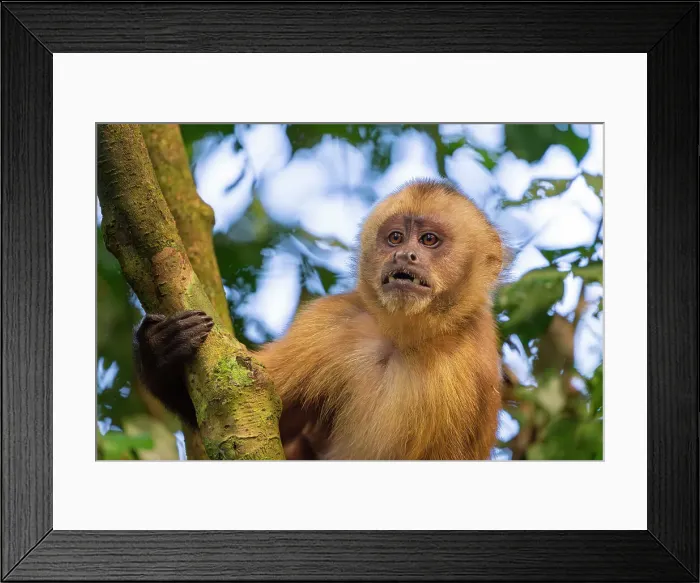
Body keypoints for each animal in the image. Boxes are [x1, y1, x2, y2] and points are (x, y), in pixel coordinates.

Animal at [134, 178, 504, 460]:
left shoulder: (470, 363)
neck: (403, 339)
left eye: (429, 240)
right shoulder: (333, 321)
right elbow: (254, 413)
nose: (404, 255)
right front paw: (159, 350)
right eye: (395, 237)